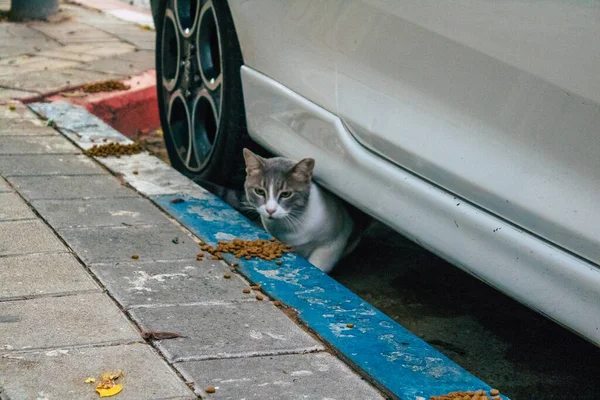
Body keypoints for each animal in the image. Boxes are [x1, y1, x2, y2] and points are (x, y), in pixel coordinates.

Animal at [195, 148, 368, 274]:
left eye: (286, 194)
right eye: (259, 191)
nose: (270, 210)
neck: (291, 226)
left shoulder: (333, 244)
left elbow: (319, 264)